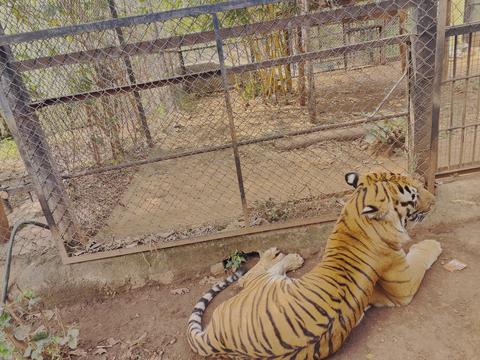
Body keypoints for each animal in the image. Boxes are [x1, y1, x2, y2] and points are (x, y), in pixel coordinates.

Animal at [187, 171, 442, 358]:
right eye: (414, 197)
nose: (435, 199)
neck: (356, 219)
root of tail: (215, 339)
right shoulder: (404, 287)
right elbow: (422, 255)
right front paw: (433, 243)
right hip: (263, 284)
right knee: (247, 277)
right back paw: (278, 253)